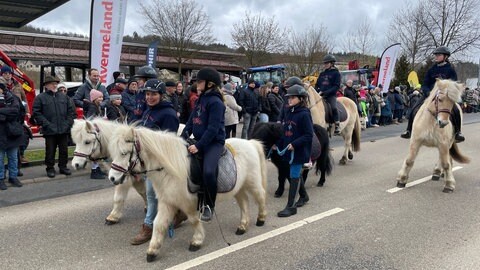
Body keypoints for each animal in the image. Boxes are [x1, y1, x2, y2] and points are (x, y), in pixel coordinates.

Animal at [106, 125, 268, 262]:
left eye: (124, 153)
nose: (112, 178)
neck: (170, 168)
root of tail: (250, 143)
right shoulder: (167, 202)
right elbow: (159, 224)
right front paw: (152, 250)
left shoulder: (188, 203)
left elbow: (194, 220)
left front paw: (196, 241)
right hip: (238, 187)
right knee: (244, 202)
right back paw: (242, 226)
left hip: (252, 183)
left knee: (260, 196)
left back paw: (261, 218)